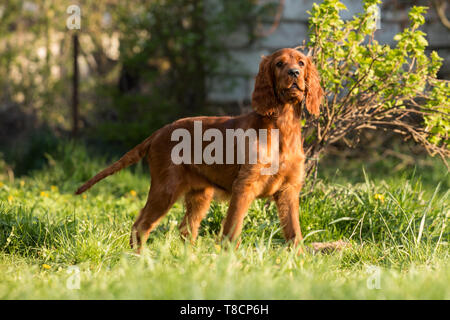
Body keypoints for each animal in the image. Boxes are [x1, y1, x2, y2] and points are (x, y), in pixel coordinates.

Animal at [76, 47, 324, 252]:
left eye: (301, 63)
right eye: (279, 64)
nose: (294, 73)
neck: (282, 126)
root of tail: (159, 132)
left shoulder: (289, 190)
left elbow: (294, 232)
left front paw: (299, 260)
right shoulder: (244, 186)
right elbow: (232, 229)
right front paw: (228, 261)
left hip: (199, 194)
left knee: (186, 228)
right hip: (165, 188)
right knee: (142, 224)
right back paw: (139, 258)